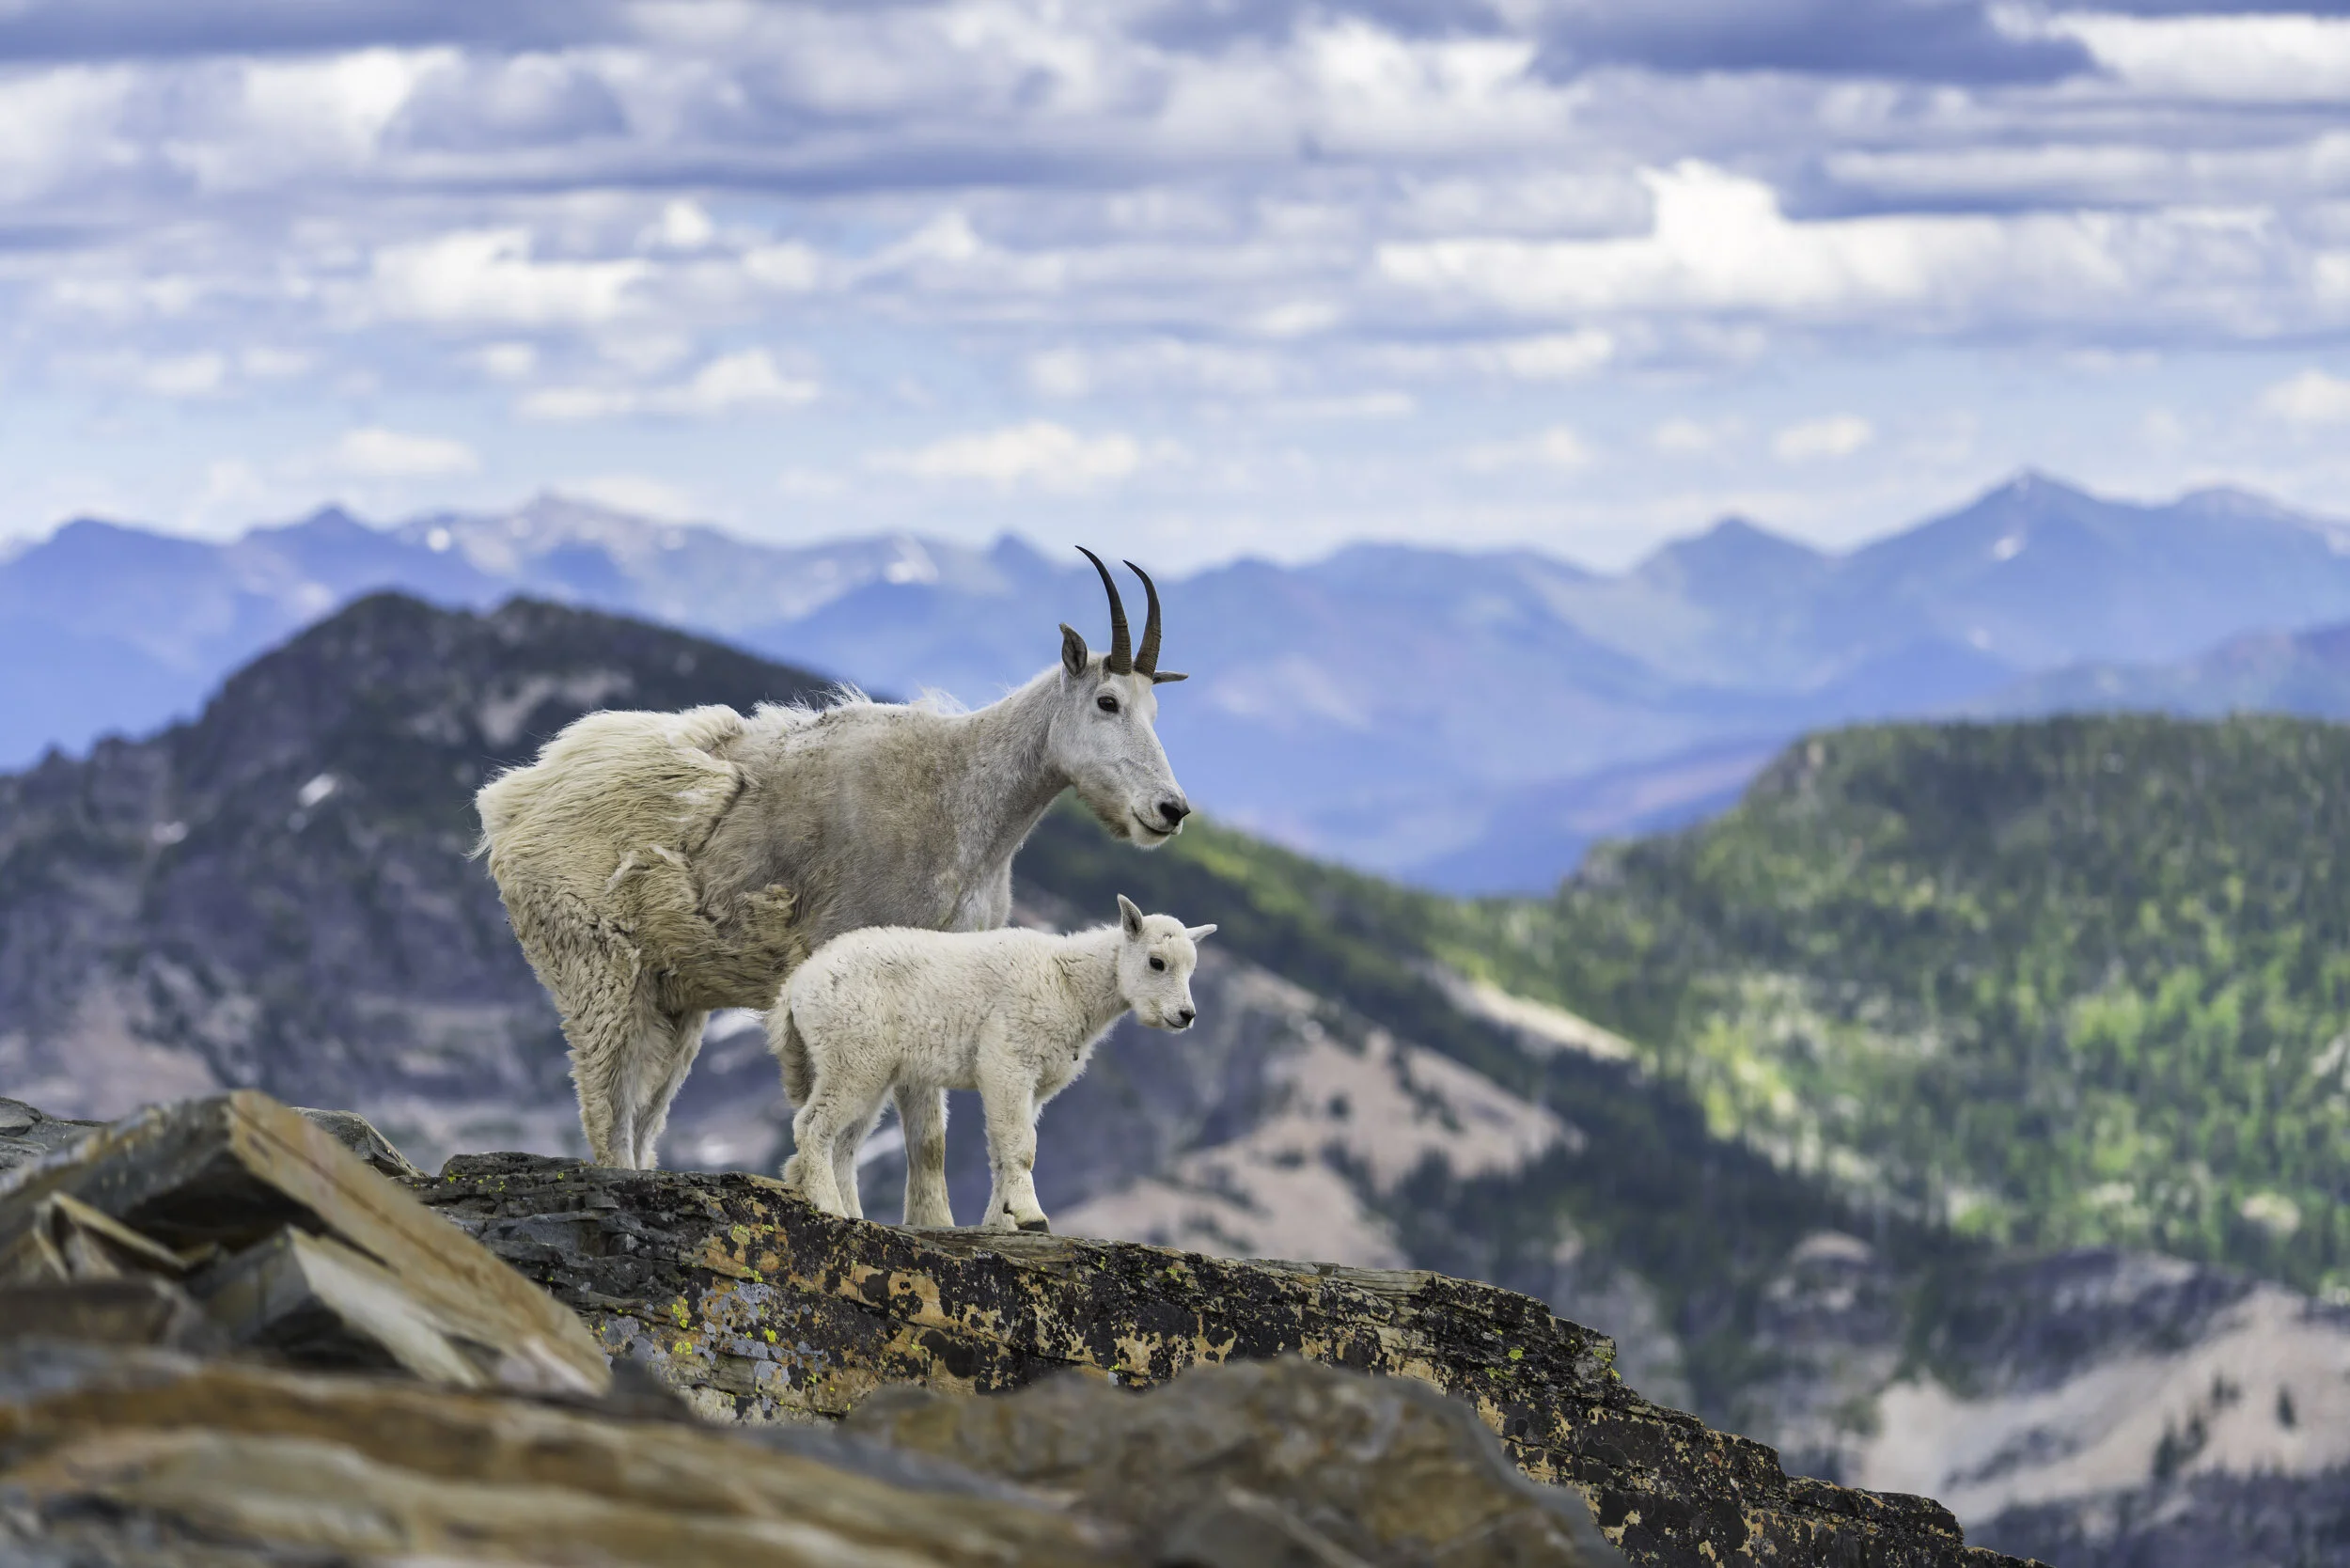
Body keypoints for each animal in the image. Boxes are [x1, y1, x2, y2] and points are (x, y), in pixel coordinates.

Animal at [476, 550, 1191, 1170]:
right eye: (1107, 702)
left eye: (1156, 708)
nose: (1171, 809)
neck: (962, 799)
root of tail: (511, 805)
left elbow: (926, 1134)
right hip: (598, 970)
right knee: (605, 1106)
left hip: (675, 998)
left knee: (644, 1118)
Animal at [773, 894, 1214, 1231]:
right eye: (1157, 962)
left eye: (1193, 967)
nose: (1186, 1015)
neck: (1070, 984)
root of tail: (795, 988)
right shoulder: (1008, 1059)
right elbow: (1020, 1145)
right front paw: (1032, 1217)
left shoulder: (1036, 1084)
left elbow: (1004, 1149)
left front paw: (1001, 1222)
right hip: (852, 1053)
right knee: (813, 1125)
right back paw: (829, 1206)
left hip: (869, 1067)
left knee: (845, 1144)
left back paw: (852, 1213)